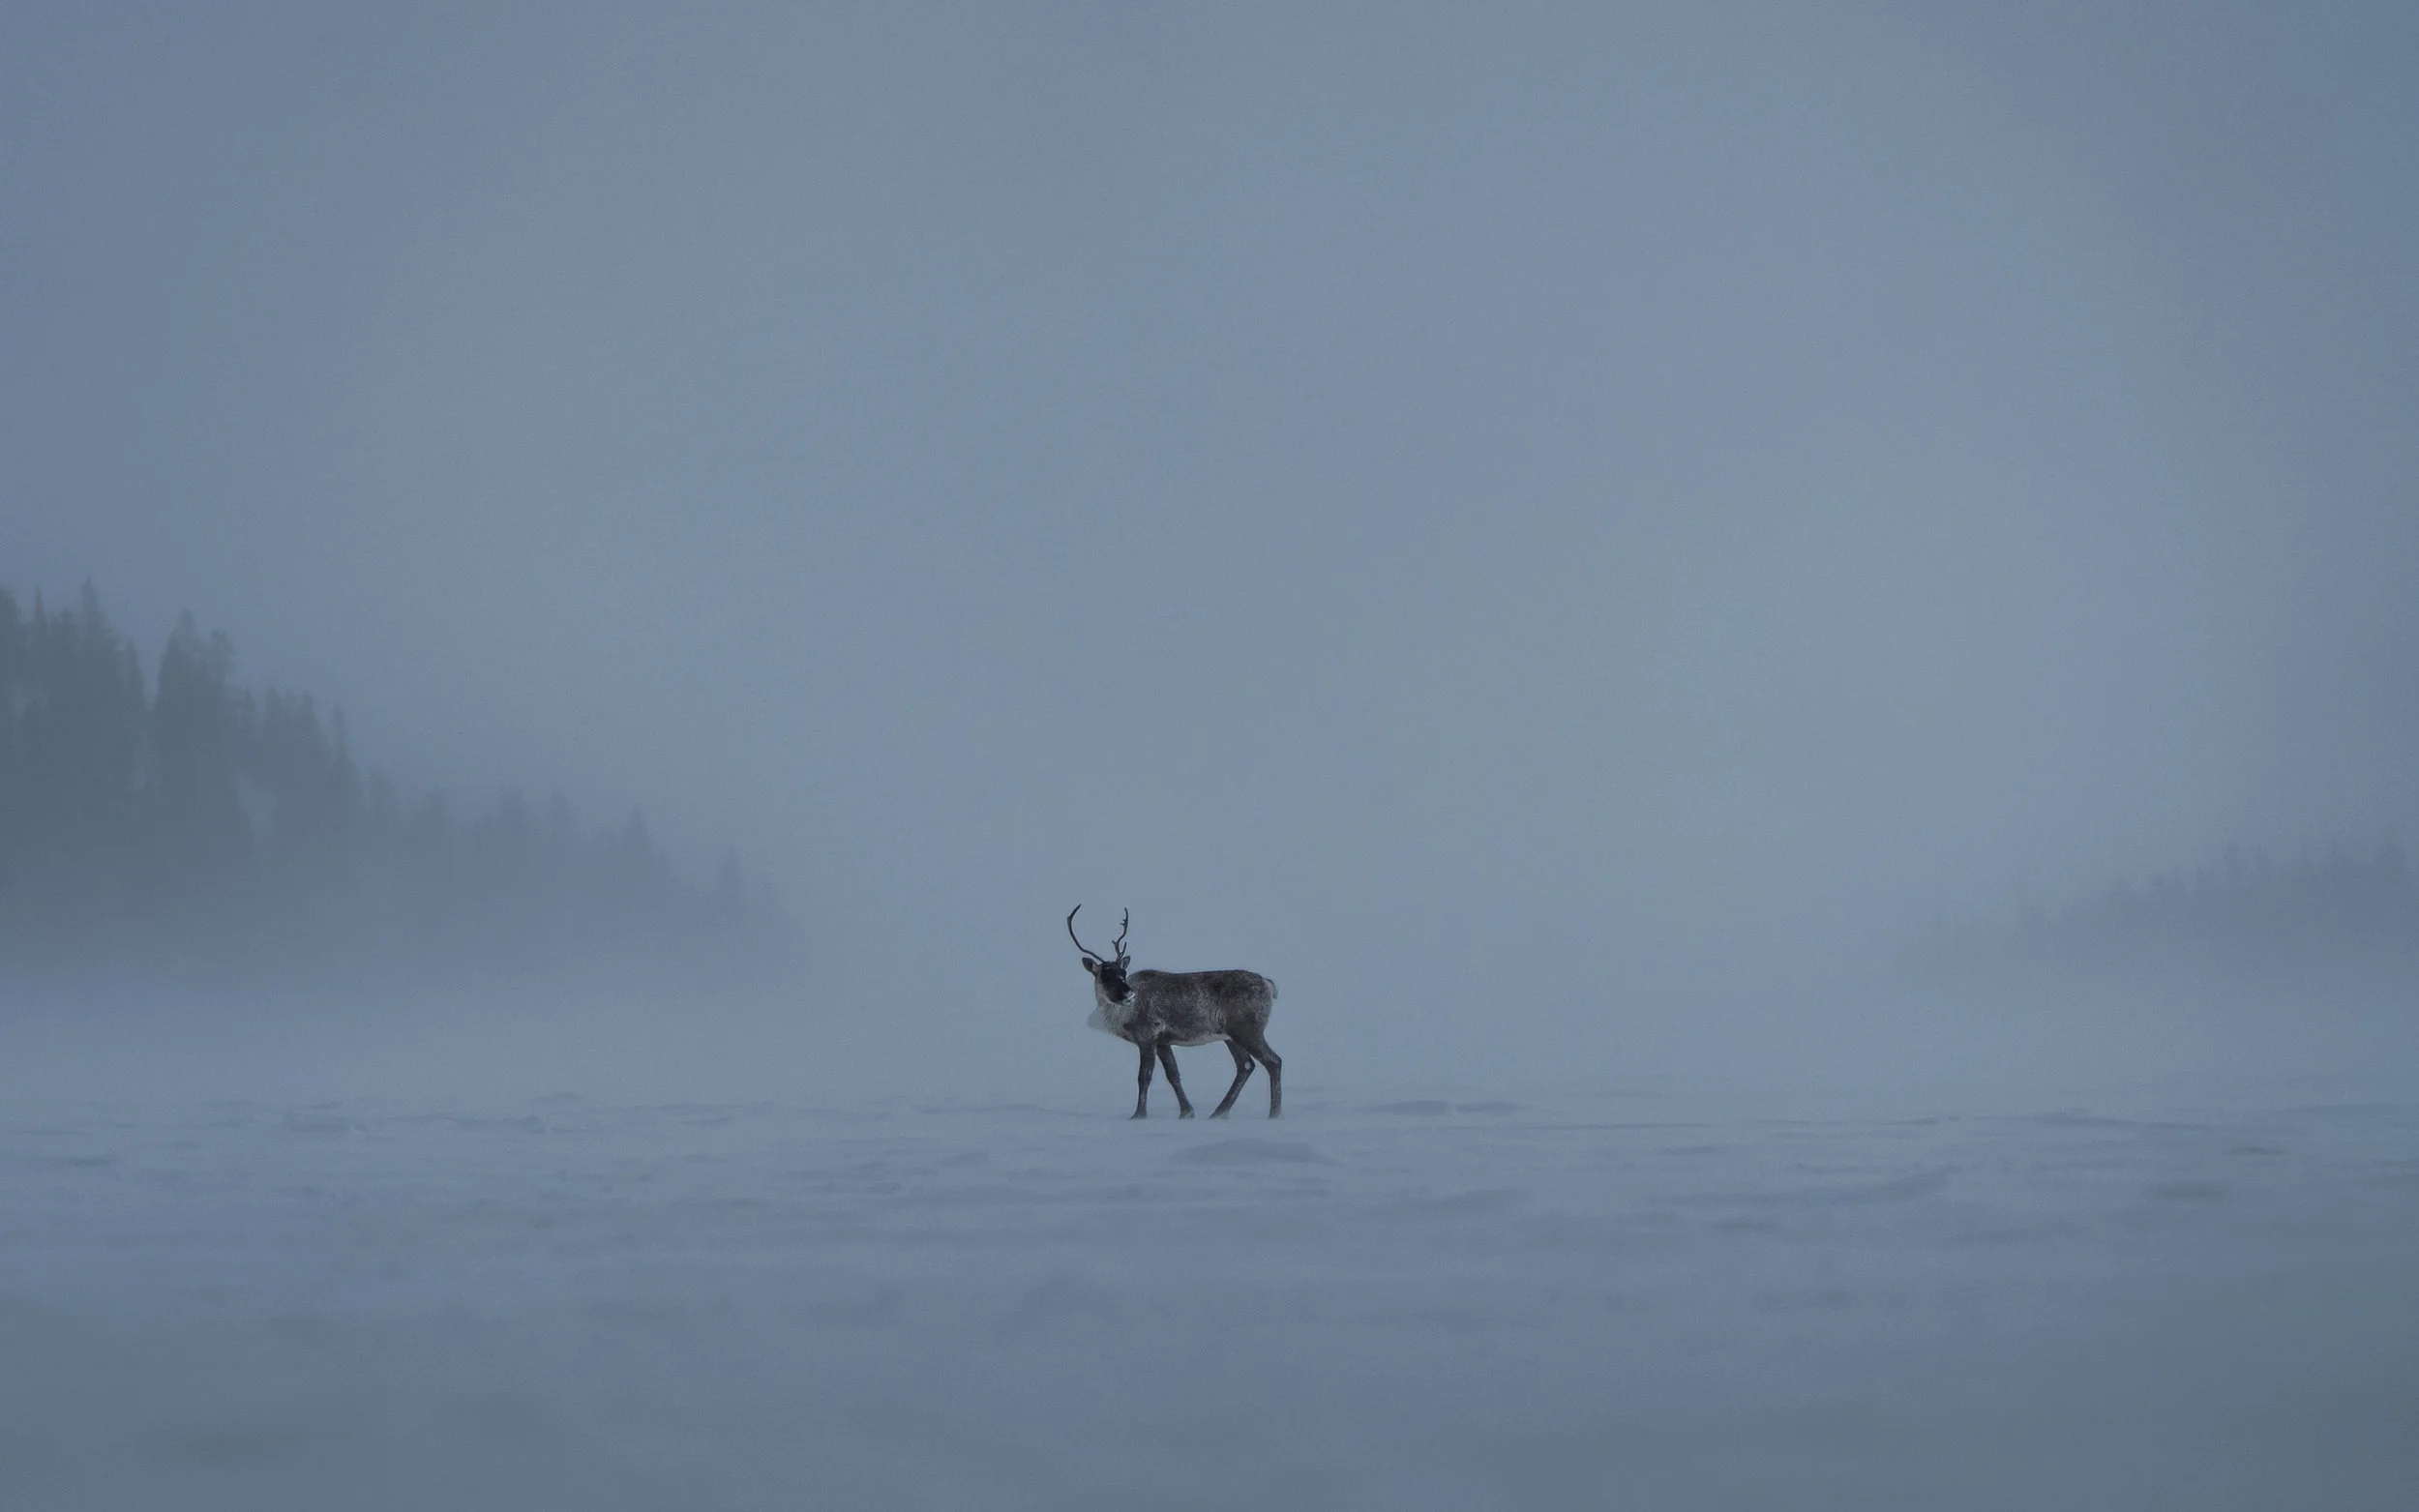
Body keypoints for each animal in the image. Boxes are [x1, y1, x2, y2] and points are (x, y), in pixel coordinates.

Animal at [1068, 906, 1281, 1119]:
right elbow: (1173, 1075)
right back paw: (1218, 1113)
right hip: (1230, 1036)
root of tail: (1269, 984)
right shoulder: (1163, 1041)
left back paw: (1274, 1114)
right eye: (1105, 977)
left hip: (1247, 1030)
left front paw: (1138, 1115)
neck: (1122, 1015)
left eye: (1123, 973)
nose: (1129, 994)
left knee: (1273, 1061)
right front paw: (1186, 1112)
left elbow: (1144, 1076)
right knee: (1246, 1065)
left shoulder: (1147, 1037)